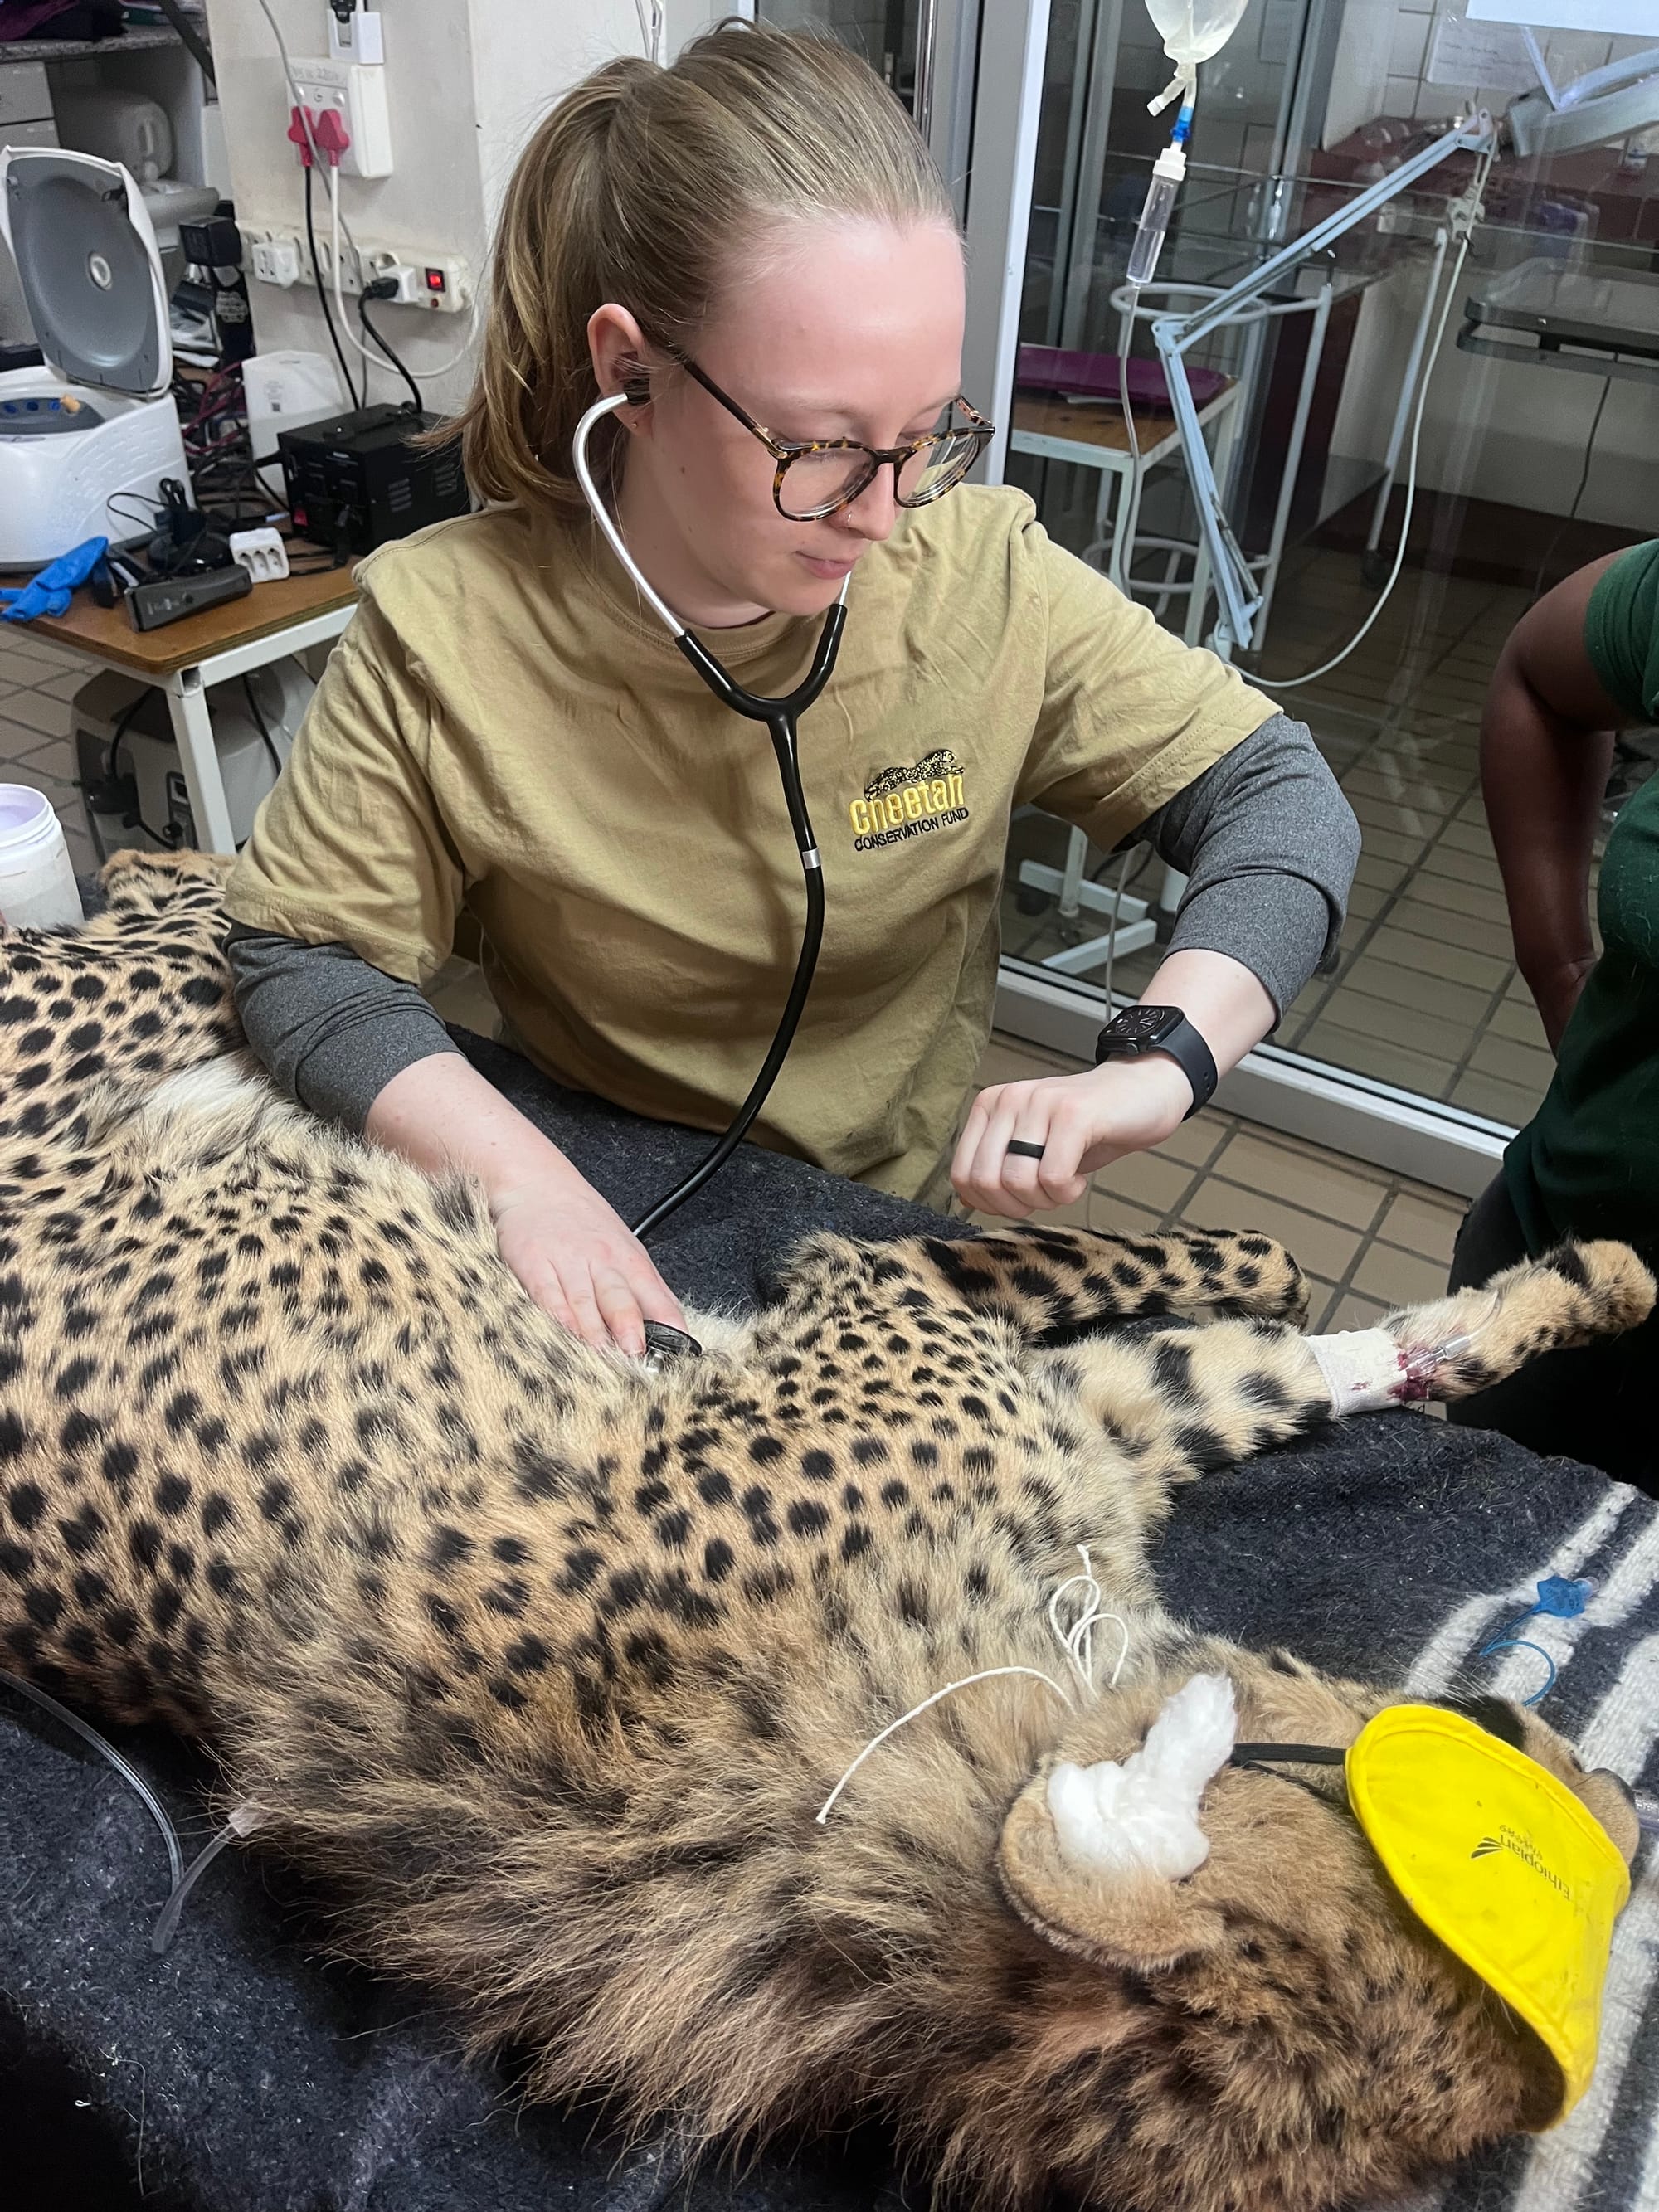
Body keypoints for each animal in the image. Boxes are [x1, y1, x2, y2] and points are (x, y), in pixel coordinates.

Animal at [0, 849, 1650, 2212]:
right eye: (1490, 1812)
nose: (1609, 1777)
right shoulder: (882, 1294)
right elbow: (1135, 1257)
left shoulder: (1099, 1427)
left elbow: (1309, 1355)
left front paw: (1572, 1291)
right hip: (111, 997)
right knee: (203, 913)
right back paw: (178, 859)